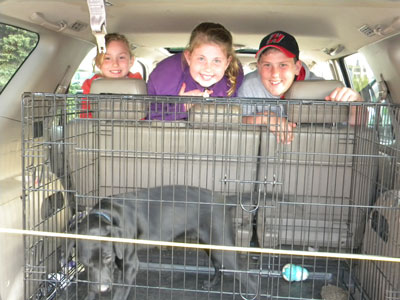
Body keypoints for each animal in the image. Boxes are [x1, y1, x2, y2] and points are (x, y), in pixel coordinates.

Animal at [65, 185, 258, 300]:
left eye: (107, 257)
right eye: (83, 263)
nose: (103, 289)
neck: (109, 214)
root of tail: (224, 200)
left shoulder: (130, 266)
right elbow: (92, 287)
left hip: (222, 246)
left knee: (249, 279)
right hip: (209, 244)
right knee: (218, 265)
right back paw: (211, 283)